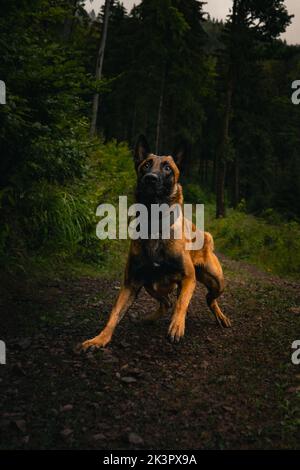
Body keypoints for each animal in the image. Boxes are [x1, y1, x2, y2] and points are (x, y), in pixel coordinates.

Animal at [81, 135, 231, 348]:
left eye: (167, 168)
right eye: (146, 165)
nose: (150, 178)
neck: (154, 221)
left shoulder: (188, 277)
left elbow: (181, 305)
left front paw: (177, 326)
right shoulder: (131, 283)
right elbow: (114, 314)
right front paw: (99, 339)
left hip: (217, 281)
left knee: (208, 298)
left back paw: (220, 317)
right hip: (150, 284)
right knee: (167, 302)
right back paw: (151, 318)